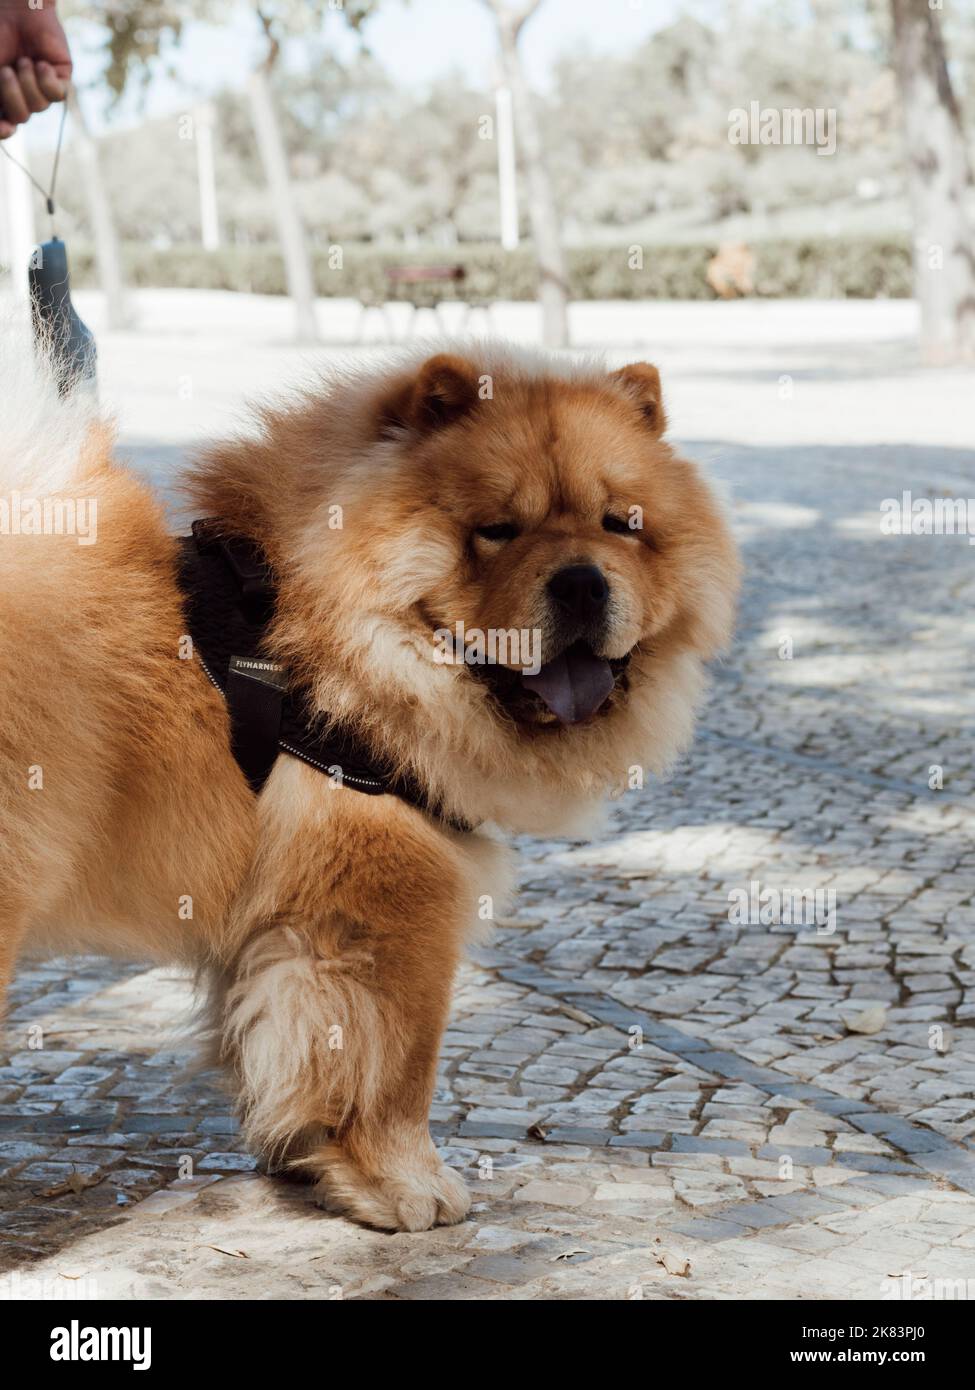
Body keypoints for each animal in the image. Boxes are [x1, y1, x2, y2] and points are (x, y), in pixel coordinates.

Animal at [0, 339, 739, 1228]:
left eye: (621, 526)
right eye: (495, 531)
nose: (581, 581)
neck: (322, 639)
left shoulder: (273, 920)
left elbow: (269, 1042)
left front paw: (299, 1160)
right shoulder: (380, 905)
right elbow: (395, 1062)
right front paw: (407, 1188)